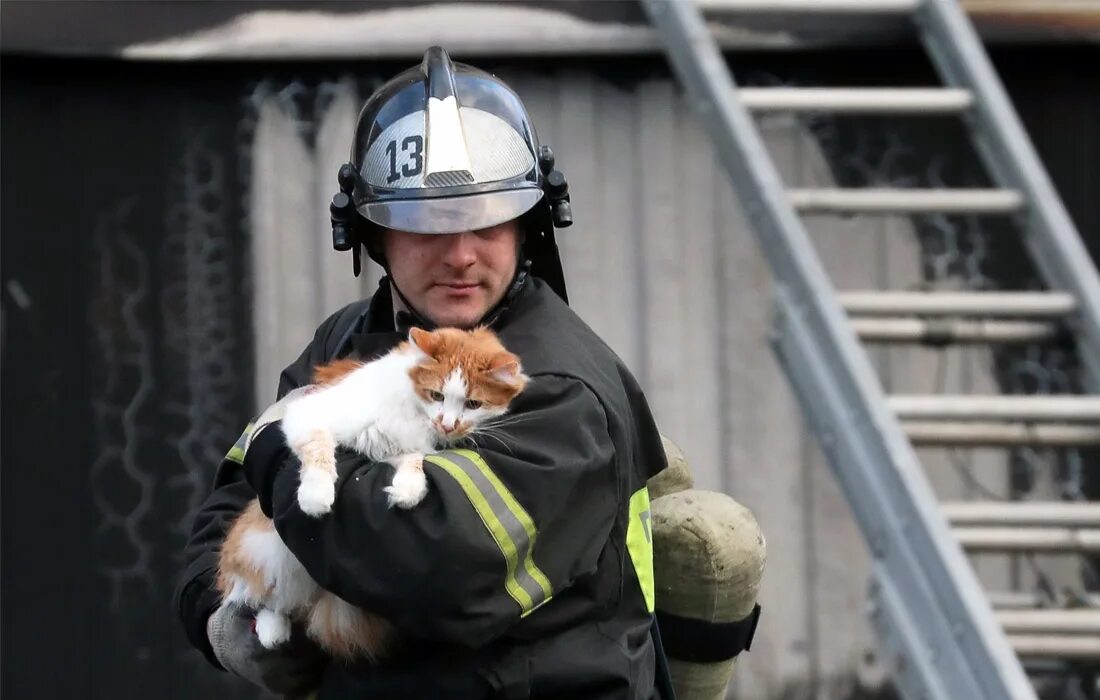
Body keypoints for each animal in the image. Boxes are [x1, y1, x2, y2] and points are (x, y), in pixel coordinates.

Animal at [217, 327, 528, 660]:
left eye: (473, 404)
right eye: (437, 395)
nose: (447, 425)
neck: (414, 409)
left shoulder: (397, 447)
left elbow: (414, 461)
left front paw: (409, 490)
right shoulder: (308, 415)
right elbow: (319, 452)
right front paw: (316, 496)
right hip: (268, 552)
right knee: (264, 598)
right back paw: (270, 632)